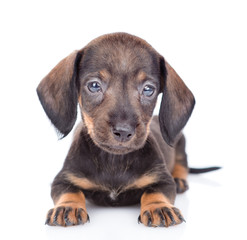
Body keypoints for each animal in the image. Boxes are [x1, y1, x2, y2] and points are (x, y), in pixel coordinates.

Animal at [37, 32, 195, 227]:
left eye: (148, 89)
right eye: (94, 85)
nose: (123, 131)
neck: (114, 161)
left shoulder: (162, 179)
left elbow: (155, 192)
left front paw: (158, 207)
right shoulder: (65, 178)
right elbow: (70, 191)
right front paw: (68, 206)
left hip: (180, 143)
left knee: (182, 162)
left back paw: (180, 179)